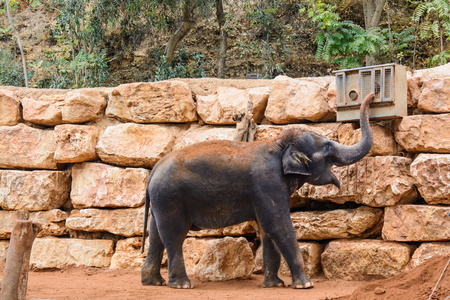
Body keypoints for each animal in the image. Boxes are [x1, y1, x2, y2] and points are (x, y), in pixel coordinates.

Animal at [142, 92, 374, 290]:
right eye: (327, 147)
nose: (372, 95)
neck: (278, 144)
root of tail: (154, 169)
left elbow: (266, 229)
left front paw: (275, 285)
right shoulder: (267, 183)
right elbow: (278, 224)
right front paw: (305, 285)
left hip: (160, 201)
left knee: (156, 235)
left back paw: (153, 282)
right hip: (170, 198)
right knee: (174, 235)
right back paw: (182, 285)